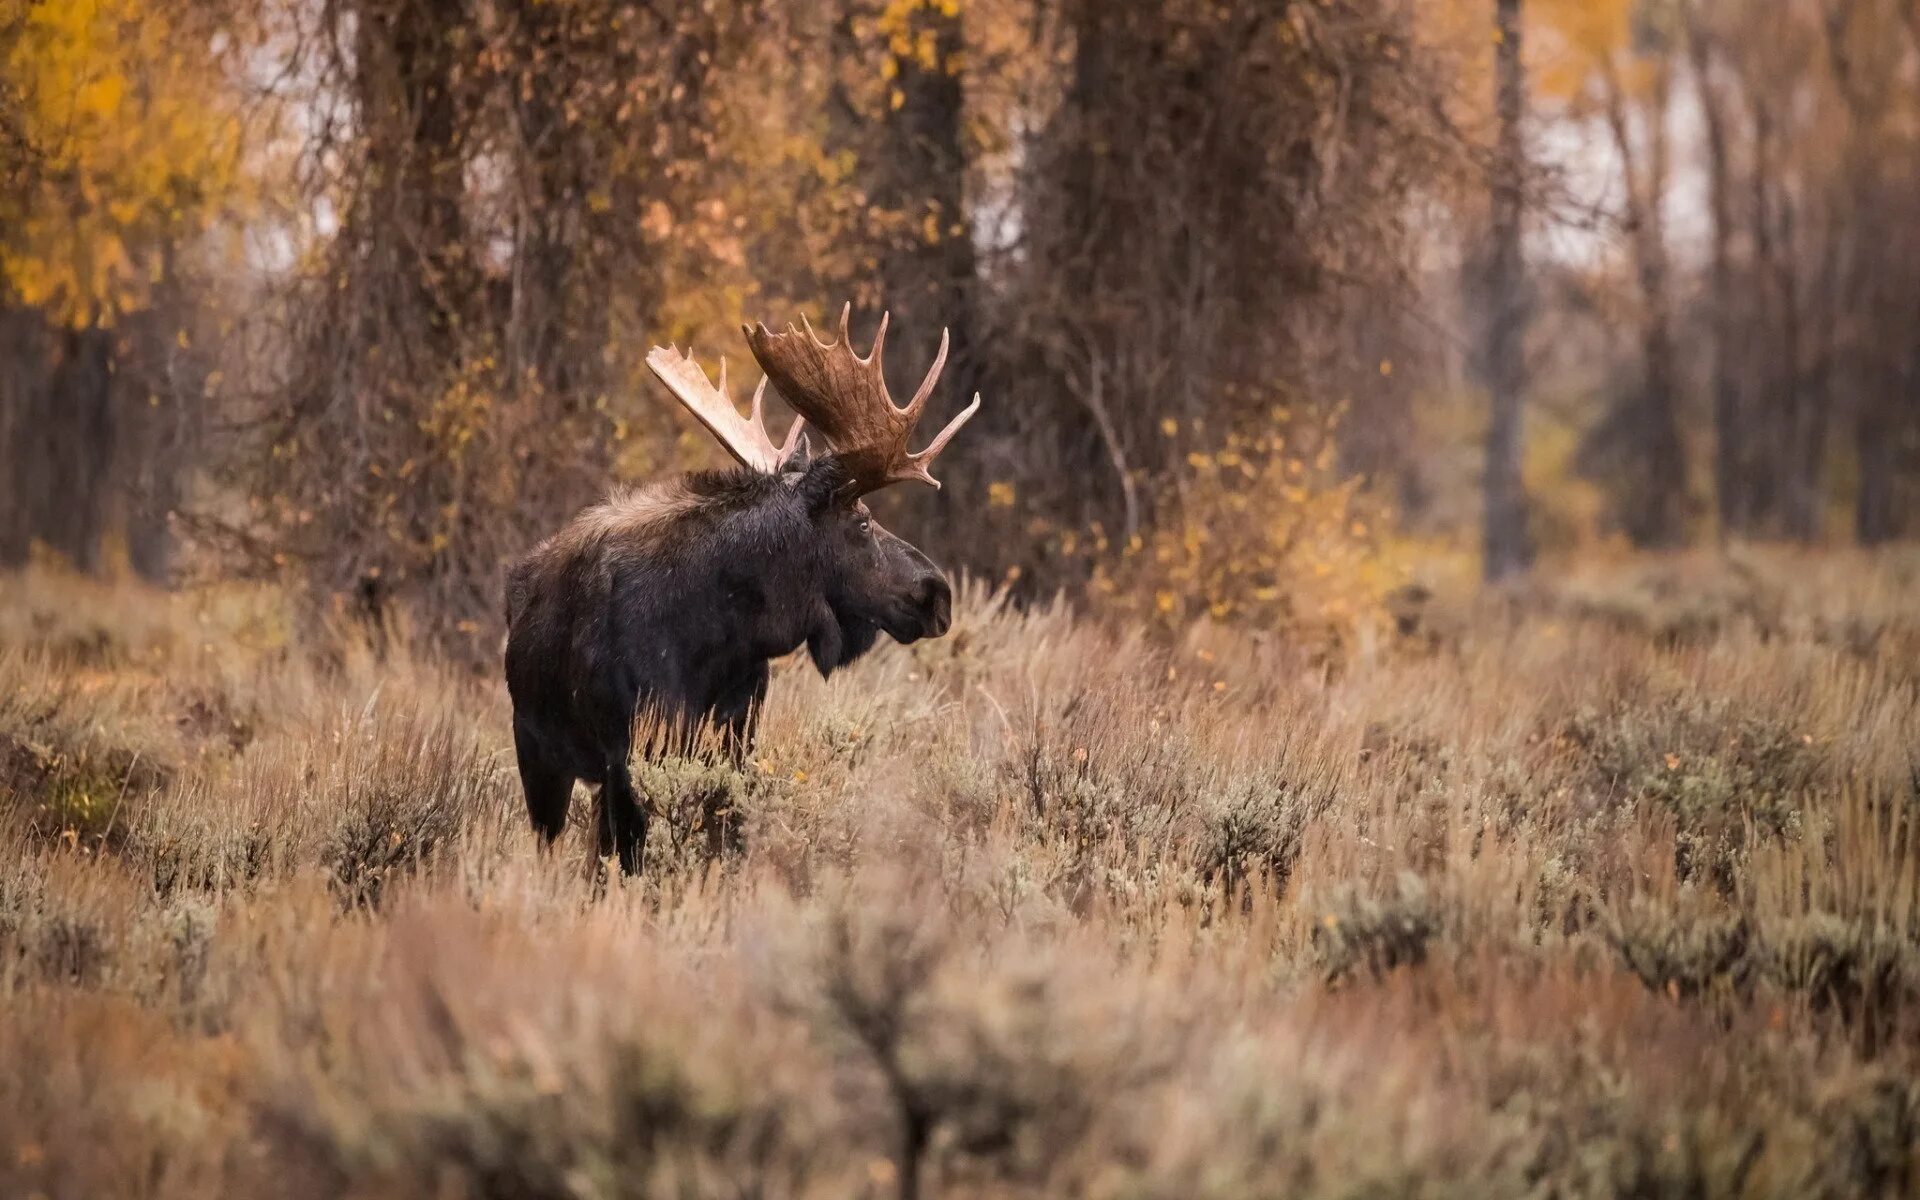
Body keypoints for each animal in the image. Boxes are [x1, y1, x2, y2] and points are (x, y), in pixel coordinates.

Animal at [503, 309, 983, 871]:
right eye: (862, 522)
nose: (938, 592)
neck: (718, 638)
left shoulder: (736, 738)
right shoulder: (627, 753)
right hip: (538, 755)